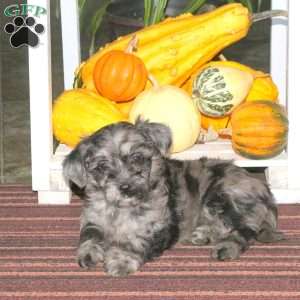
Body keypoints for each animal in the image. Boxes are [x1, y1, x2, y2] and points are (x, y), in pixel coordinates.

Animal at [63, 119, 284, 276]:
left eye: (137, 158)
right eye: (101, 167)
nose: (126, 188)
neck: (121, 209)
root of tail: (264, 190)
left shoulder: (160, 226)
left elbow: (136, 241)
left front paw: (122, 260)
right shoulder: (93, 218)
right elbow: (89, 234)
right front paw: (88, 252)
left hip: (221, 195)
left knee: (245, 229)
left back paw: (226, 247)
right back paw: (203, 234)